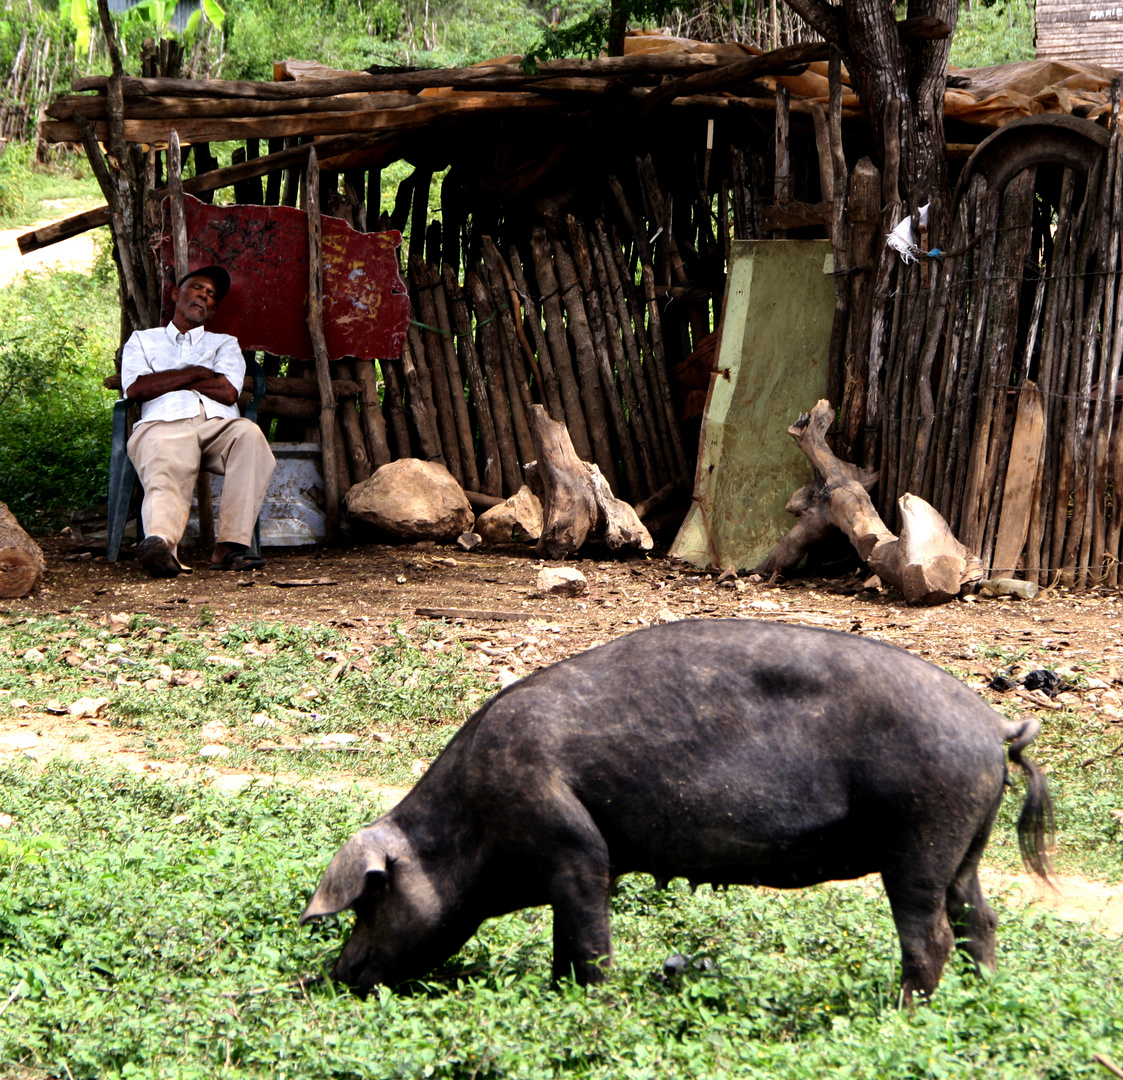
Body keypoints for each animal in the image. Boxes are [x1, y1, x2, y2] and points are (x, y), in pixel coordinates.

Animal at [300, 615, 1051, 1001]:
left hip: (921, 832)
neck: (470, 825)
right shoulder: (576, 866)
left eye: (368, 901)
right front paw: (559, 996)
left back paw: (899, 1013)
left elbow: (590, 943)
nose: (336, 974)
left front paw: (597, 1006)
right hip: (964, 841)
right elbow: (565, 942)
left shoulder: (573, 846)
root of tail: (993, 726)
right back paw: (982, 999)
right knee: (979, 917)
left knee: (931, 934)